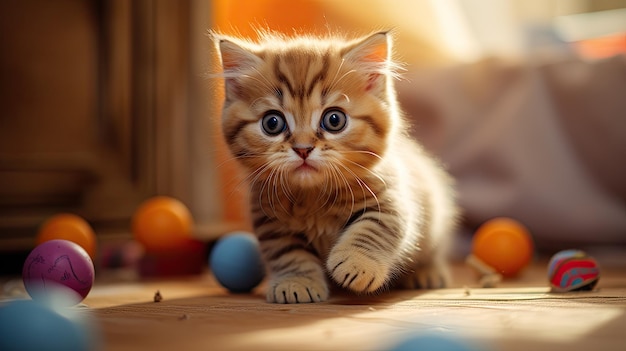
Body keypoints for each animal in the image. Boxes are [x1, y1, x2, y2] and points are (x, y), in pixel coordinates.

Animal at [212, 30, 456, 304]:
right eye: (272, 123)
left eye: (334, 120)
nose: (303, 148)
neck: (314, 197)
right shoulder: (270, 219)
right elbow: (287, 252)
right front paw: (297, 281)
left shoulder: (391, 197)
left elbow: (373, 229)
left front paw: (357, 264)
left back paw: (427, 273)